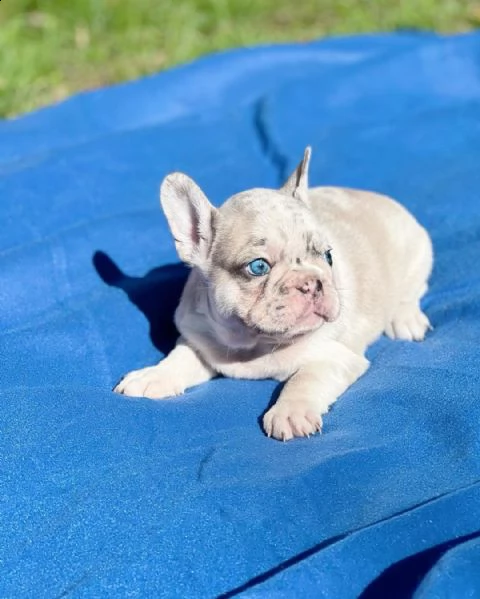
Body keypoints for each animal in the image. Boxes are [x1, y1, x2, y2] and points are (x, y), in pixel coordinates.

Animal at [114, 146, 434, 440]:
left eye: (328, 256)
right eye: (258, 267)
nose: (310, 282)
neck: (254, 343)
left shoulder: (335, 357)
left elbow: (306, 378)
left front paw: (291, 412)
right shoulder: (199, 340)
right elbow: (179, 357)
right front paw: (153, 375)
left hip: (417, 252)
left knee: (413, 290)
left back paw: (406, 319)